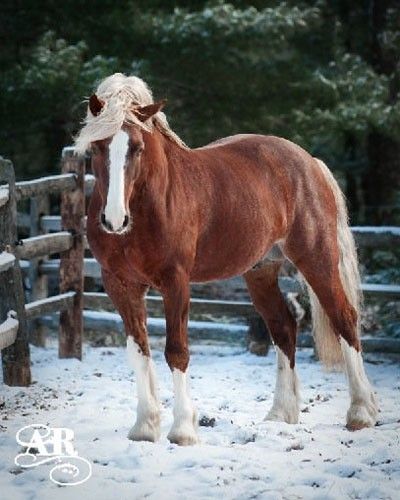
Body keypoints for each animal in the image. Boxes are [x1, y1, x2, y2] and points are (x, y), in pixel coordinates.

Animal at [74, 72, 378, 444]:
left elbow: (176, 350)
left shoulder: (175, 282)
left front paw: (183, 430)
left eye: (138, 148)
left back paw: (361, 412)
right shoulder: (119, 284)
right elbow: (138, 350)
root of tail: (309, 163)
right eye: (97, 147)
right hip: (260, 271)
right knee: (283, 326)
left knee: (344, 318)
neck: (148, 205)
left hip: (316, 257)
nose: (115, 220)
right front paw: (145, 427)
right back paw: (281, 414)